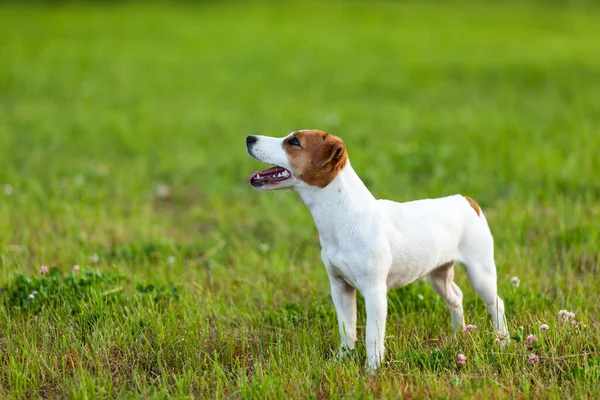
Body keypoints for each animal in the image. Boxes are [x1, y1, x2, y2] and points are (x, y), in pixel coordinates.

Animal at [246, 130, 508, 372]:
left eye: (294, 142)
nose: (249, 138)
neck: (342, 215)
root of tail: (467, 201)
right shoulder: (340, 287)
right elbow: (347, 328)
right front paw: (341, 359)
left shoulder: (374, 292)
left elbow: (372, 335)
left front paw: (371, 370)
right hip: (438, 275)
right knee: (456, 297)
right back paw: (457, 335)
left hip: (480, 272)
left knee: (496, 303)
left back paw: (503, 341)